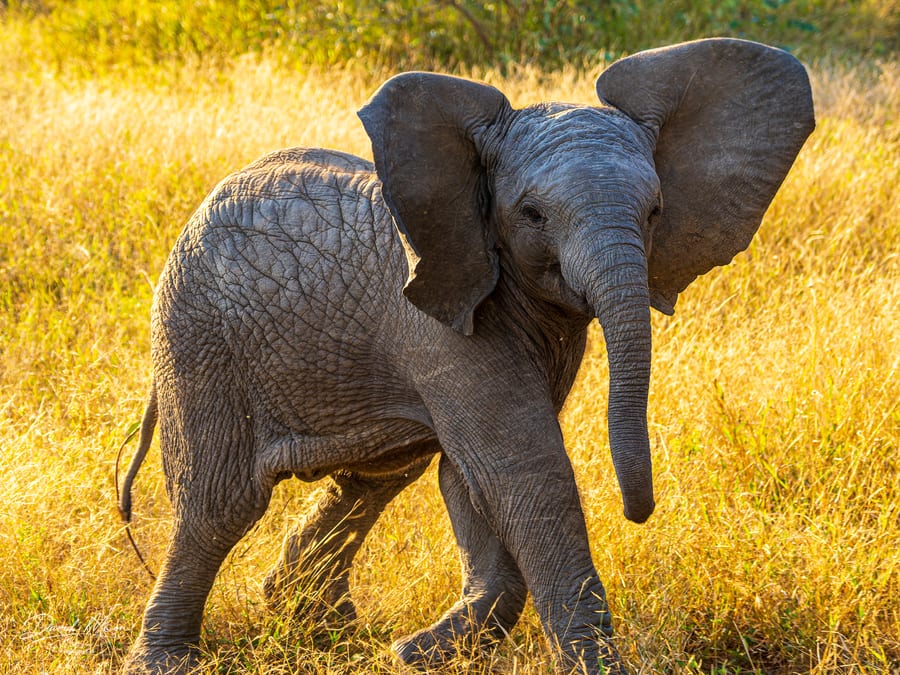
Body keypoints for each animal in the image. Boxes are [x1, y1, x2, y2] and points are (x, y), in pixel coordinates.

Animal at [118, 38, 814, 674]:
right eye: (531, 214)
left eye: (655, 212)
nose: (637, 510)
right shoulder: (437, 323)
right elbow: (523, 472)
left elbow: (469, 477)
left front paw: (415, 652)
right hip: (197, 335)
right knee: (218, 502)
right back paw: (168, 661)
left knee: (373, 478)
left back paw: (325, 629)